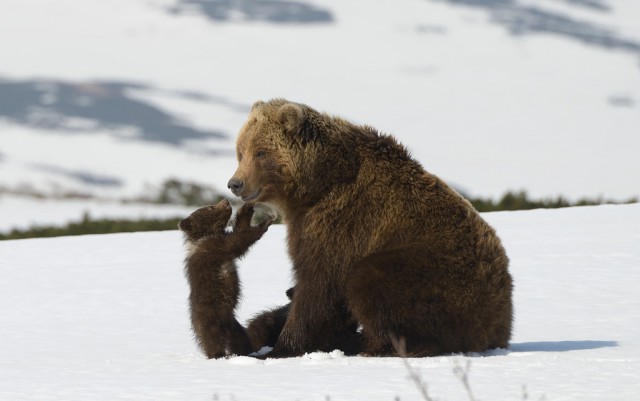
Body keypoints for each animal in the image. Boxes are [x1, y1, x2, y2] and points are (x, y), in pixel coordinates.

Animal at [228, 99, 512, 356]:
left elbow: (319, 284)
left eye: (261, 152)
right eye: (241, 151)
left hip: (440, 274)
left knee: (369, 280)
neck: (315, 185)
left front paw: (281, 347)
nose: (235, 183)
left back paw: (379, 346)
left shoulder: (341, 221)